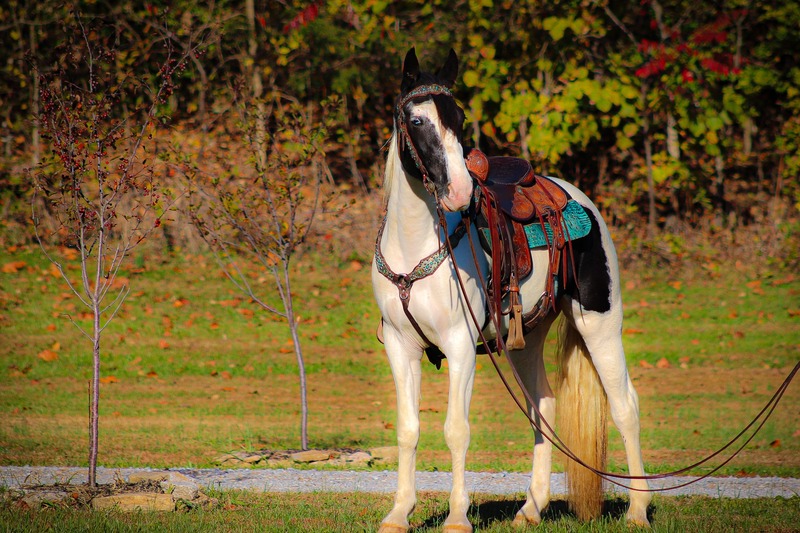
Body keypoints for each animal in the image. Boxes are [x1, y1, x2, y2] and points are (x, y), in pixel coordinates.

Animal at [372, 47, 652, 528]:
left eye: (459, 117)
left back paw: (637, 510)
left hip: (600, 325)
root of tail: (574, 196)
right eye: (417, 120)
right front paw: (398, 514)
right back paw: (531, 508)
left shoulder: (460, 345)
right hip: (526, 340)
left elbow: (456, 430)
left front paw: (457, 518)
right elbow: (408, 429)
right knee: (544, 407)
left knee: (625, 407)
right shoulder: (399, 344)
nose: (460, 191)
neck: (416, 246)